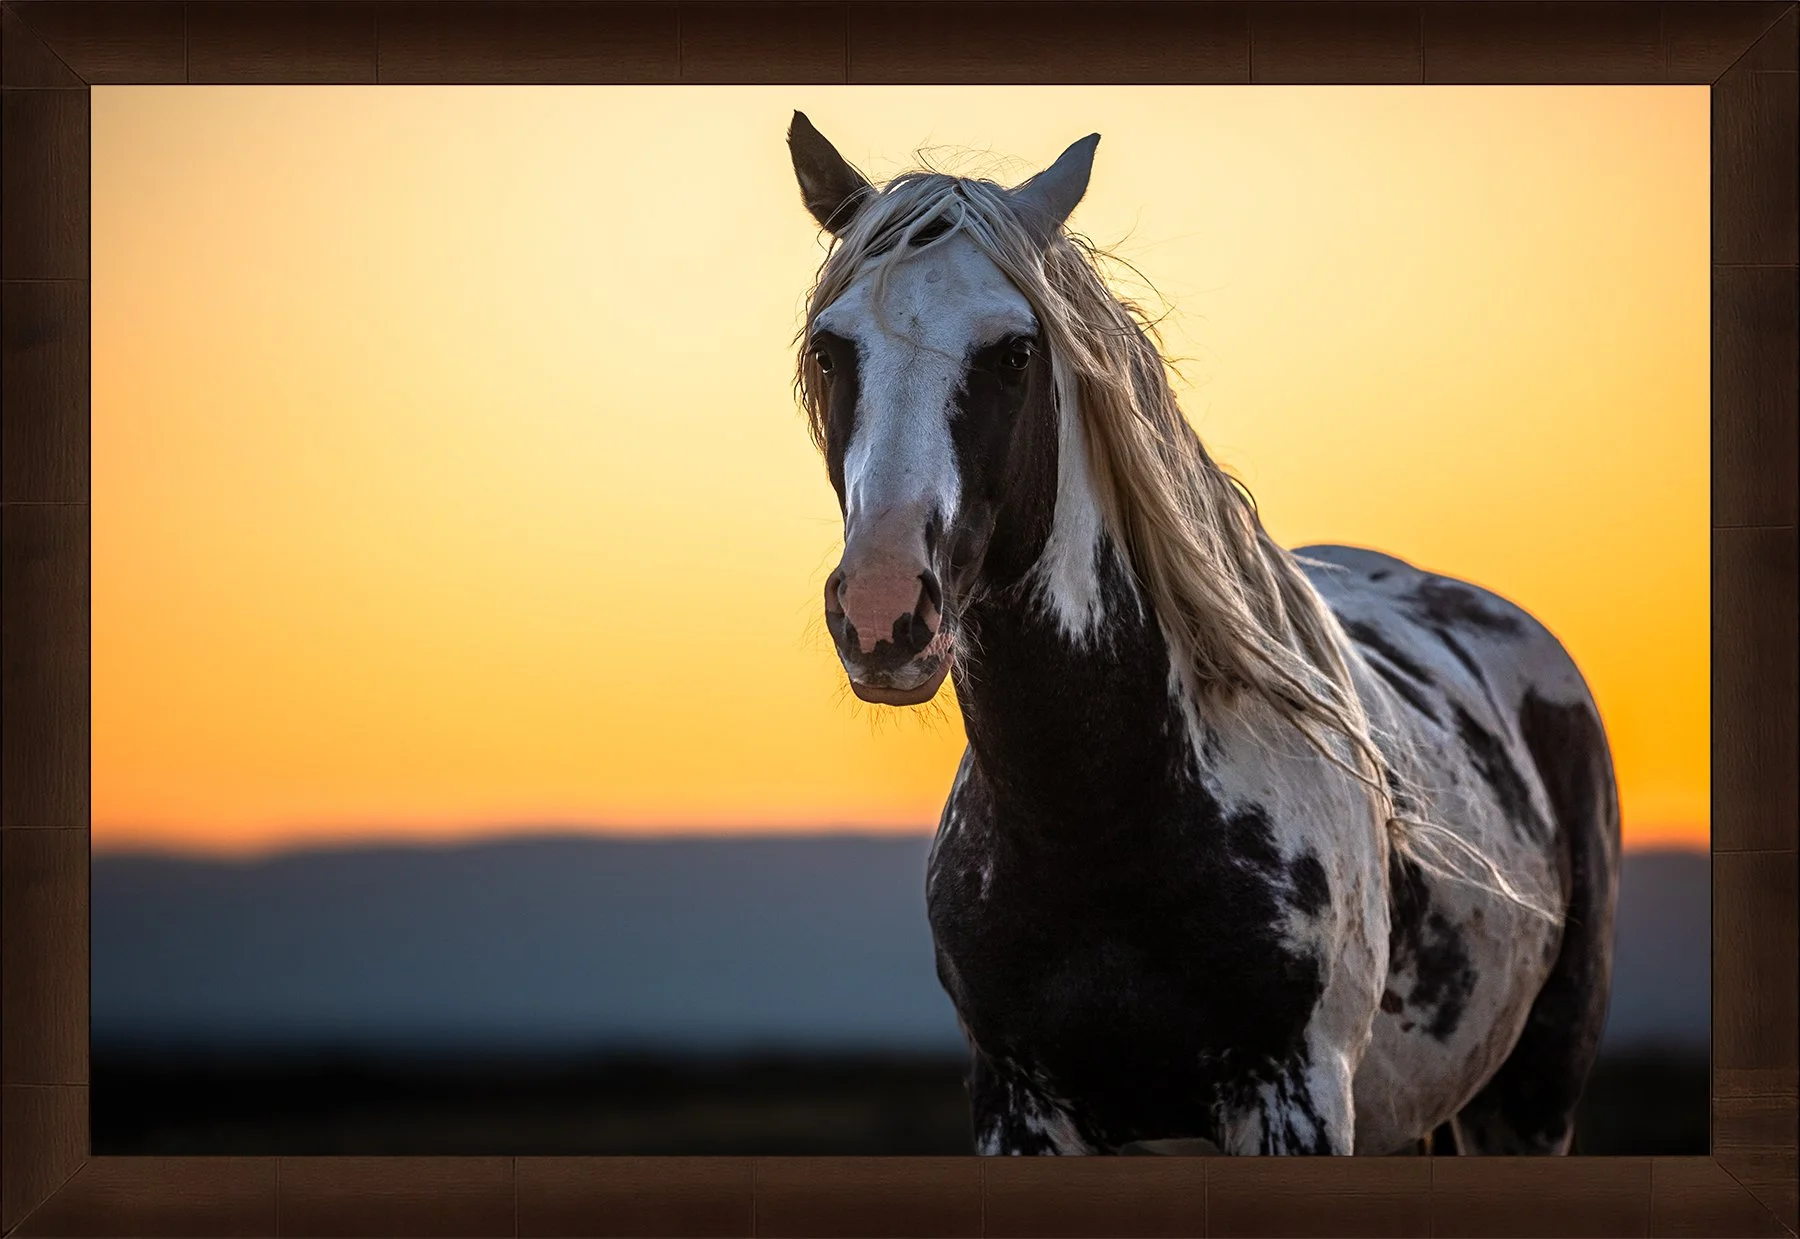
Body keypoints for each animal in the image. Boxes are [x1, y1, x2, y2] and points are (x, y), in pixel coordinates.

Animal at [785, 112, 1621, 1156]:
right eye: (830, 348)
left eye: (1016, 352)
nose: (884, 608)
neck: (1097, 816)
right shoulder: (1021, 1108)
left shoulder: (1294, 1098)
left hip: (1531, 1096)